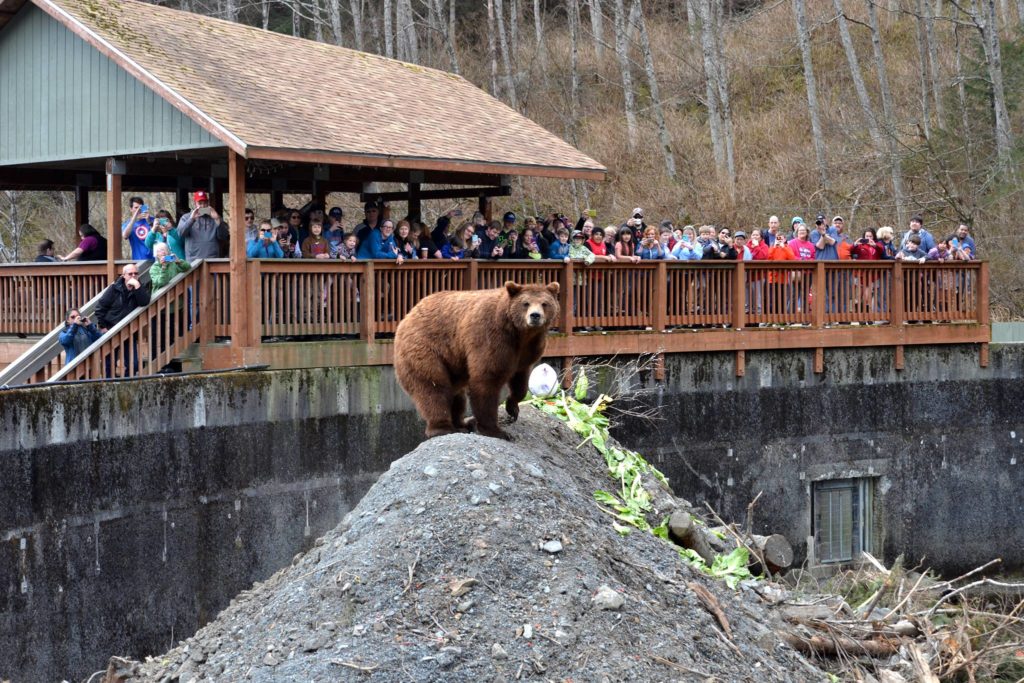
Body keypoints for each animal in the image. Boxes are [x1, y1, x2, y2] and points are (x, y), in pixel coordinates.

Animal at [395, 280, 565, 440]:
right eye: (526, 303)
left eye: (545, 303)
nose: (535, 315)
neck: (521, 334)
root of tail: (407, 316)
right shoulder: (492, 337)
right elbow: (486, 380)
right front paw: (496, 430)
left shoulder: (527, 352)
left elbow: (520, 383)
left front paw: (512, 409)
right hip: (426, 349)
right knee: (433, 388)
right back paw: (443, 427)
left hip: (453, 364)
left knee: (457, 396)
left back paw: (463, 423)